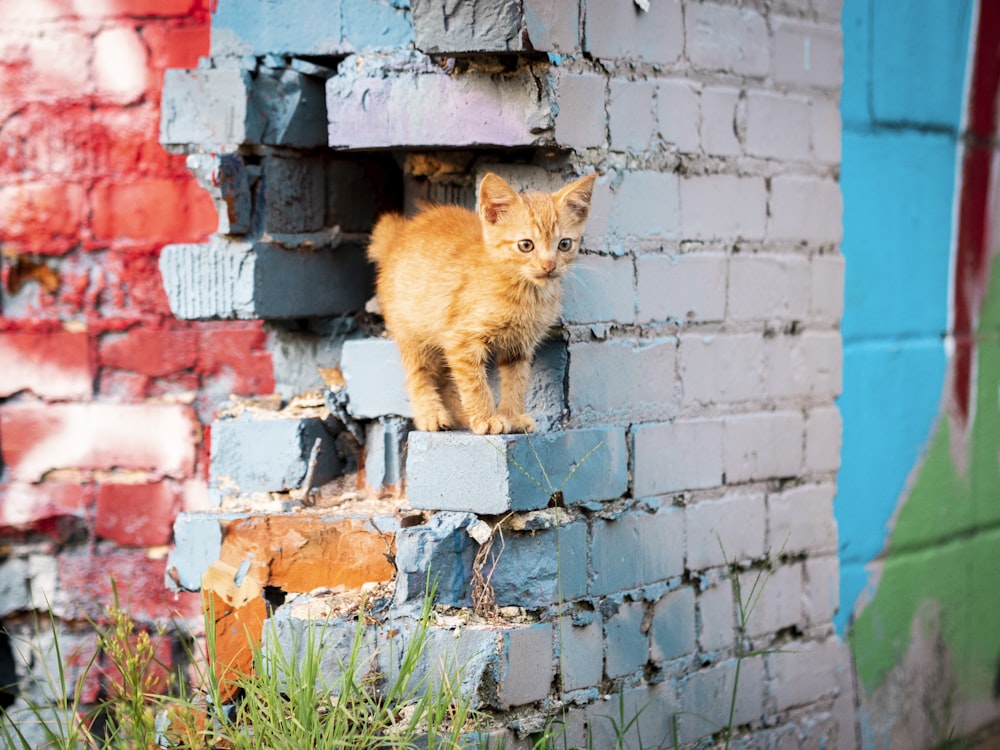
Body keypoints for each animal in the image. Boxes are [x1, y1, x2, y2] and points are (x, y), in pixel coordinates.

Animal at [372, 172, 596, 434]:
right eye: (526, 245)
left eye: (564, 244)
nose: (549, 266)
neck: (525, 293)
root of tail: (398, 236)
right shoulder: (460, 340)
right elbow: (475, 385)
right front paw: (486, 419)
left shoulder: (518, 347)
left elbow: (516, 382)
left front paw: (512, 417)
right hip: (411, 330)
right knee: (418, 374)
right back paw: (431, 415)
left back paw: (460, 415)